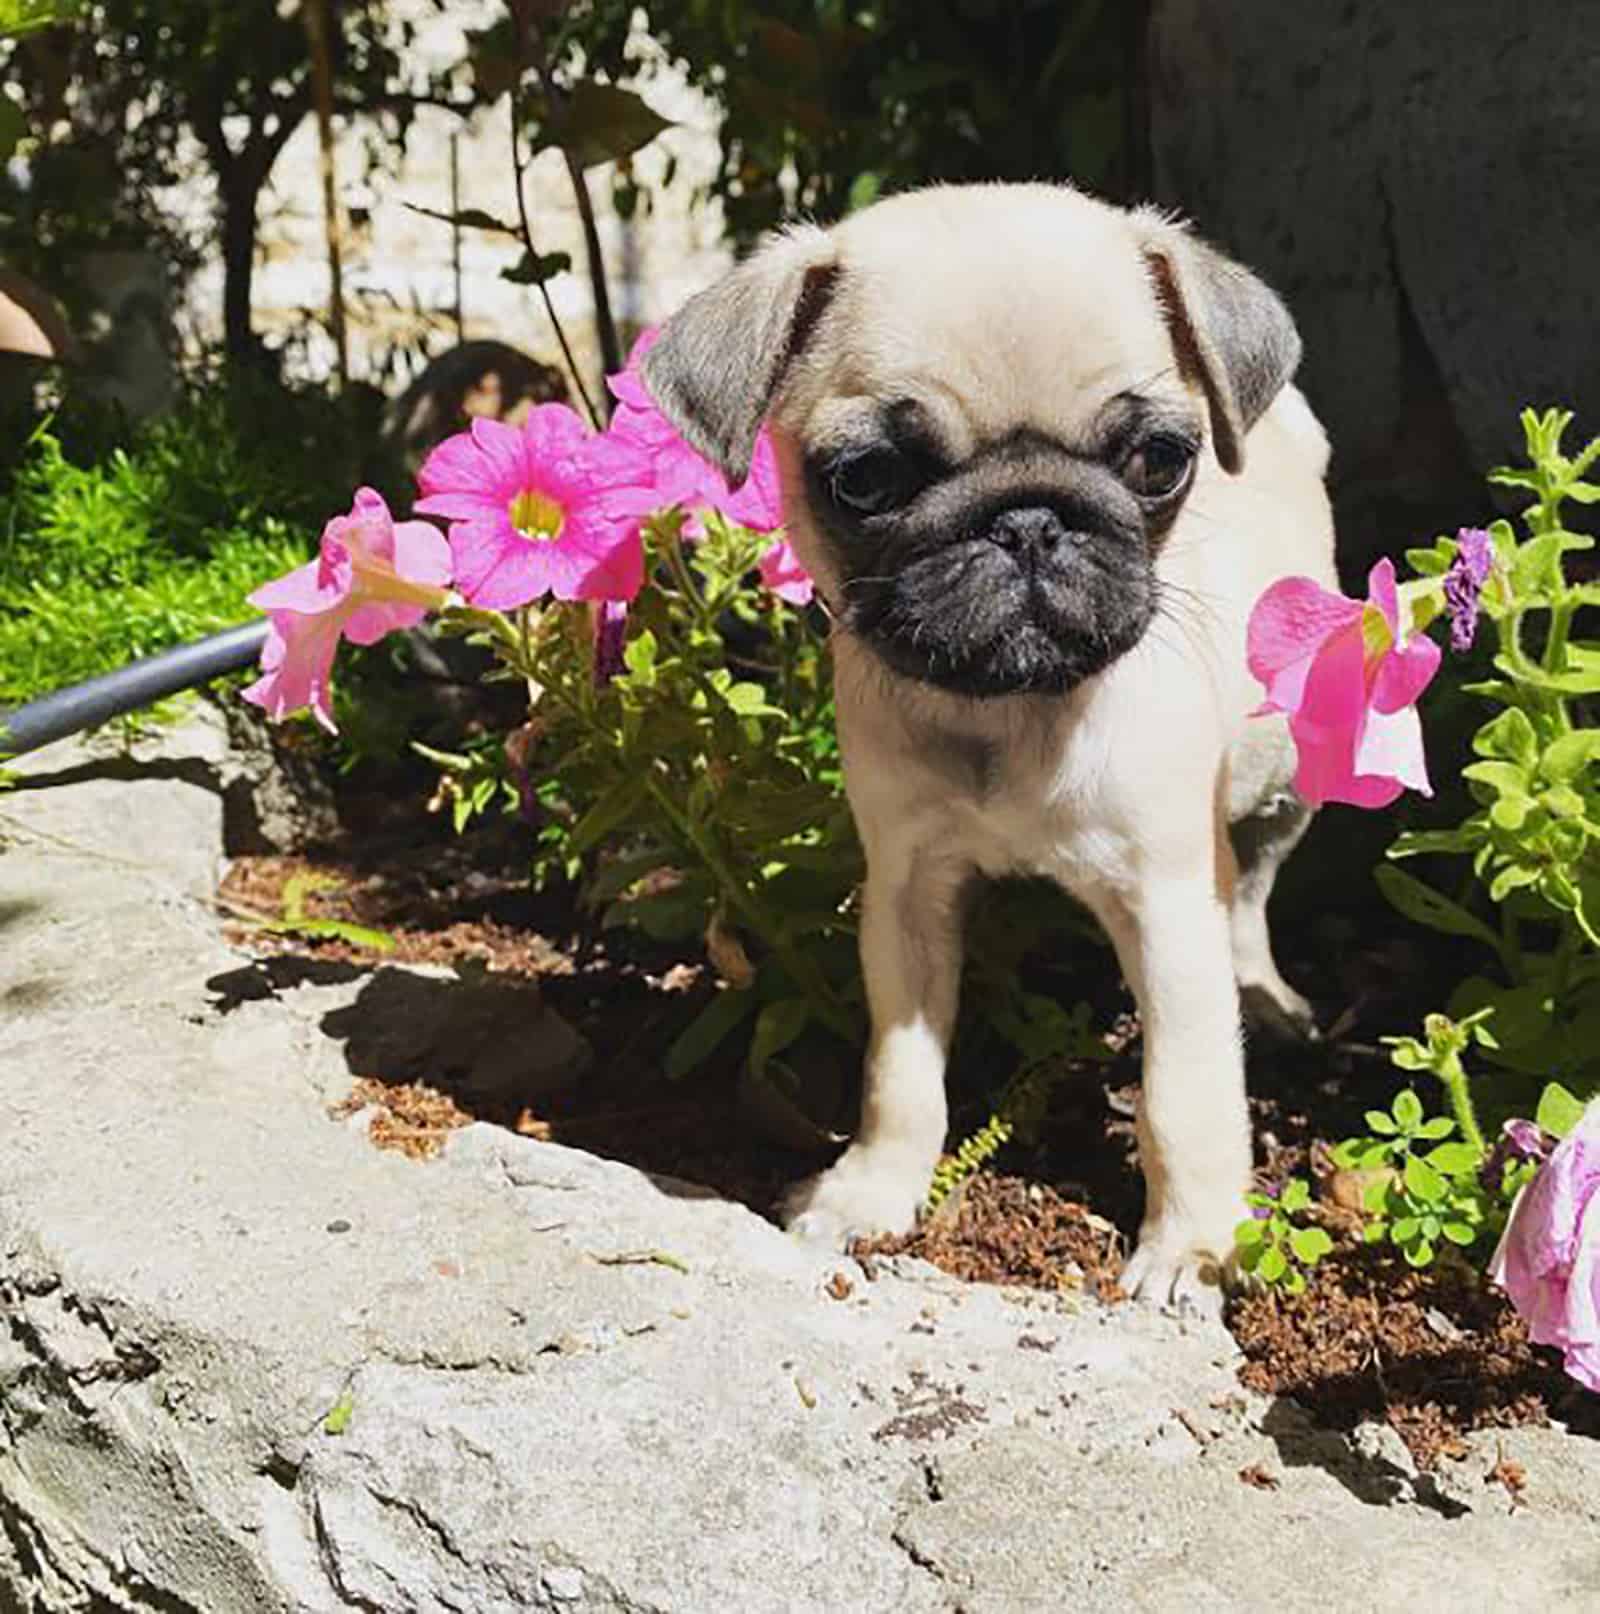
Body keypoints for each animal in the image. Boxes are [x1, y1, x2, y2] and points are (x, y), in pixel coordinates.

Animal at [639, 183, 1336, 1304]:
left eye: (1158, 461)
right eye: (866, 478)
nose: (1028, 522)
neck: (1010, 711)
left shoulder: (1169, 906)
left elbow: (1182, 1095)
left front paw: (1191, 1246)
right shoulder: (906, 891)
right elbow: (902, 1073)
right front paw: (871, 1192)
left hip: (1290, 779)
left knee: (1255, 896)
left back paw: (1266, 1000)